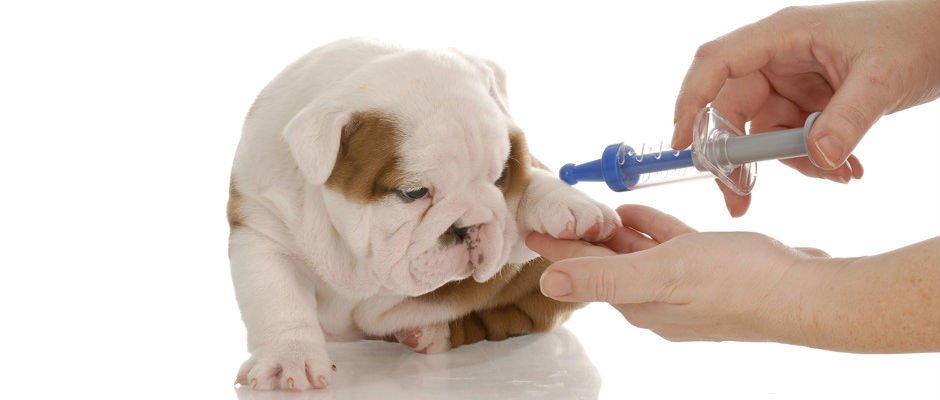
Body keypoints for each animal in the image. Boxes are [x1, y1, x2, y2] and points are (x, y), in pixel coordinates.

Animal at [230, 38, 620, 390]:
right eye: (414, 193)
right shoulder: (262, 227)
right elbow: (278, 297)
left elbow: (528, 192)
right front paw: (289, 358)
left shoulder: (512, 223)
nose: (471, 226)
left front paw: (571, 206)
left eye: (500, 177)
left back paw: (430, 332)